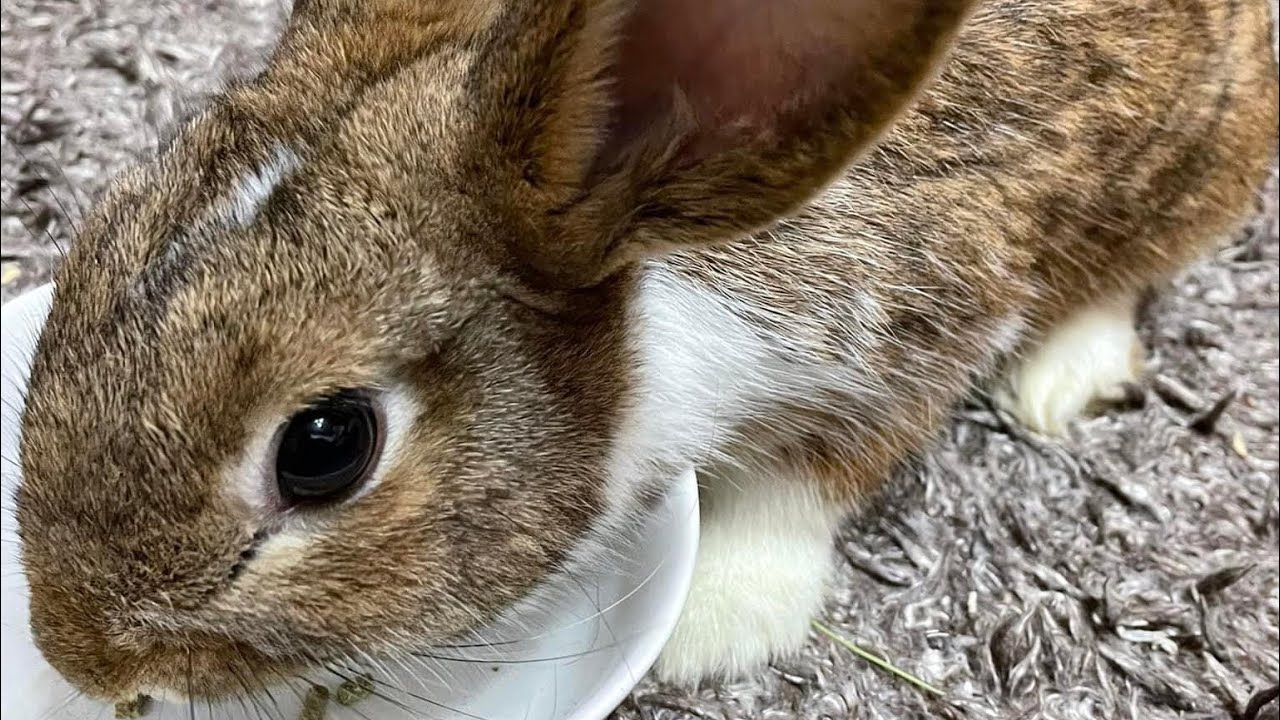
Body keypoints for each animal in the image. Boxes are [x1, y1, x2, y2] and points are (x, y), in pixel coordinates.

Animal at [12, 0, 1278, 704]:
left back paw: (1060, 381)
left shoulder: (913, 316)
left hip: (1189, 166)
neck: (650, 261)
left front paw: (712, 630)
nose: (82, 659)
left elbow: (808, 478)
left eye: (325, 446)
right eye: (97, 240)